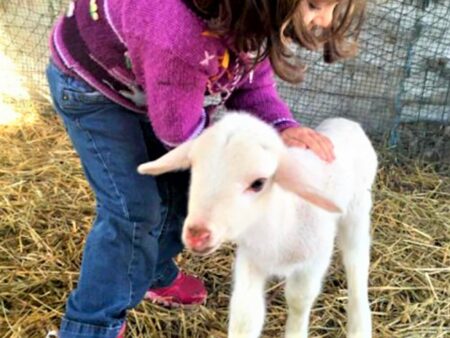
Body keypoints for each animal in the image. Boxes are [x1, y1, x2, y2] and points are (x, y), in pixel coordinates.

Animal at [139, 113, 378, 338]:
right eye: (194, 169)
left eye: (258, 184)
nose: (197, 234)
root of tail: (346, 121)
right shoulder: (251, 259)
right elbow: (245, 316)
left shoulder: (313, 261)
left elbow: (299, 301)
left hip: (357, 208)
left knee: (356, 260)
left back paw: (359, 324)